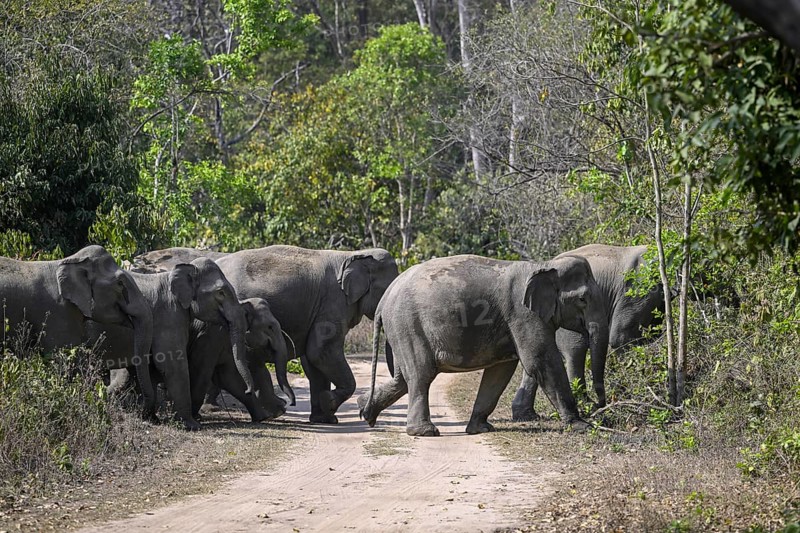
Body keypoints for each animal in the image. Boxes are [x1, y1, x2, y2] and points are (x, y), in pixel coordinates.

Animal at [91, 257, 253, 430]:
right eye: (221, 293)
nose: (249, 391)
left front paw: (153, 419)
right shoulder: (169, 314)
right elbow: (173, 364)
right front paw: (192, 426)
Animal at [133, 245, 399, 424]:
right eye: (387, 289)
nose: (366, 413)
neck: (353, 254)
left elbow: (312, 359)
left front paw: (325, 418)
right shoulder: (333, 302)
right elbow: (321, 351)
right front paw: (330, 404)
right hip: (218, 323)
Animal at [357, 254, 606, 436]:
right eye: (582, 299)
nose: (597, 410)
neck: (544, 265)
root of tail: (384, 300)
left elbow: (501, 371)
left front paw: (481, 429)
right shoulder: (522, 314)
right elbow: (540, 360)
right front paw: (581, 426)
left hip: (400, 329)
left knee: (402, 378)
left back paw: (365, 411)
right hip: (408, 325)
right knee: (421, 375)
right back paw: (425, 432)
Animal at [511, 244, 664, 421]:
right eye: (582, 299)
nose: (603, 404)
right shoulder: (639, 289)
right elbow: (621, 337)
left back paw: (526, 415)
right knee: (576, 351)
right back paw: (586, 405)